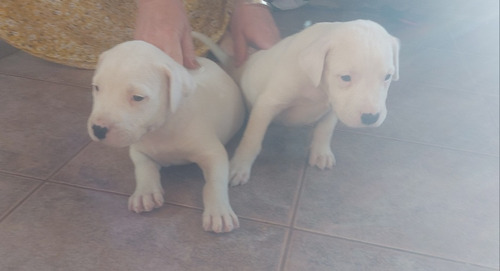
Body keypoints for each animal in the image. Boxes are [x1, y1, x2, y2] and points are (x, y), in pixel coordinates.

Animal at [89, 41, 247, 234]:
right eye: (97, 87)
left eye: (138, 97)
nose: (98, 129)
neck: (163, 129)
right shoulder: (138, 150)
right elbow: (143, 168)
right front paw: (145, 193)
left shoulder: (213, 153)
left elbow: (214, 182)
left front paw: (219, 211)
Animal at [206, 19, 398, 187]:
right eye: (345, 77)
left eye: (387, 76)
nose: (370, 118)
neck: (318, 86)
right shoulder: (267, 104)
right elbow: (252, 139)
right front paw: (239, 166)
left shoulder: (334, 107)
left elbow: (325, 129)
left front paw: (321, 153)